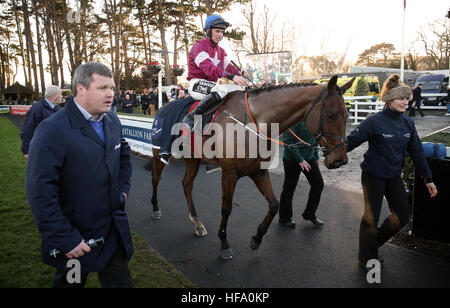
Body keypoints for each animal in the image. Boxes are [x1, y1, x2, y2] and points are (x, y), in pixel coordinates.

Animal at [151, 76, 356, 258]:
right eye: (330, 115)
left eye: (347, 115)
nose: (340, 160)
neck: (255, 123)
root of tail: (163, 107)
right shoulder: (229, 173)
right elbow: (226, 208)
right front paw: (224, 243)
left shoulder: (259, 172)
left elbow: (274, 204)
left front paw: (257, 238)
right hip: (158, 152)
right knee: (155, 179)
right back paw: (155, 209)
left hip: (193, 158)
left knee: (186, 184)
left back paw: (197, 223)